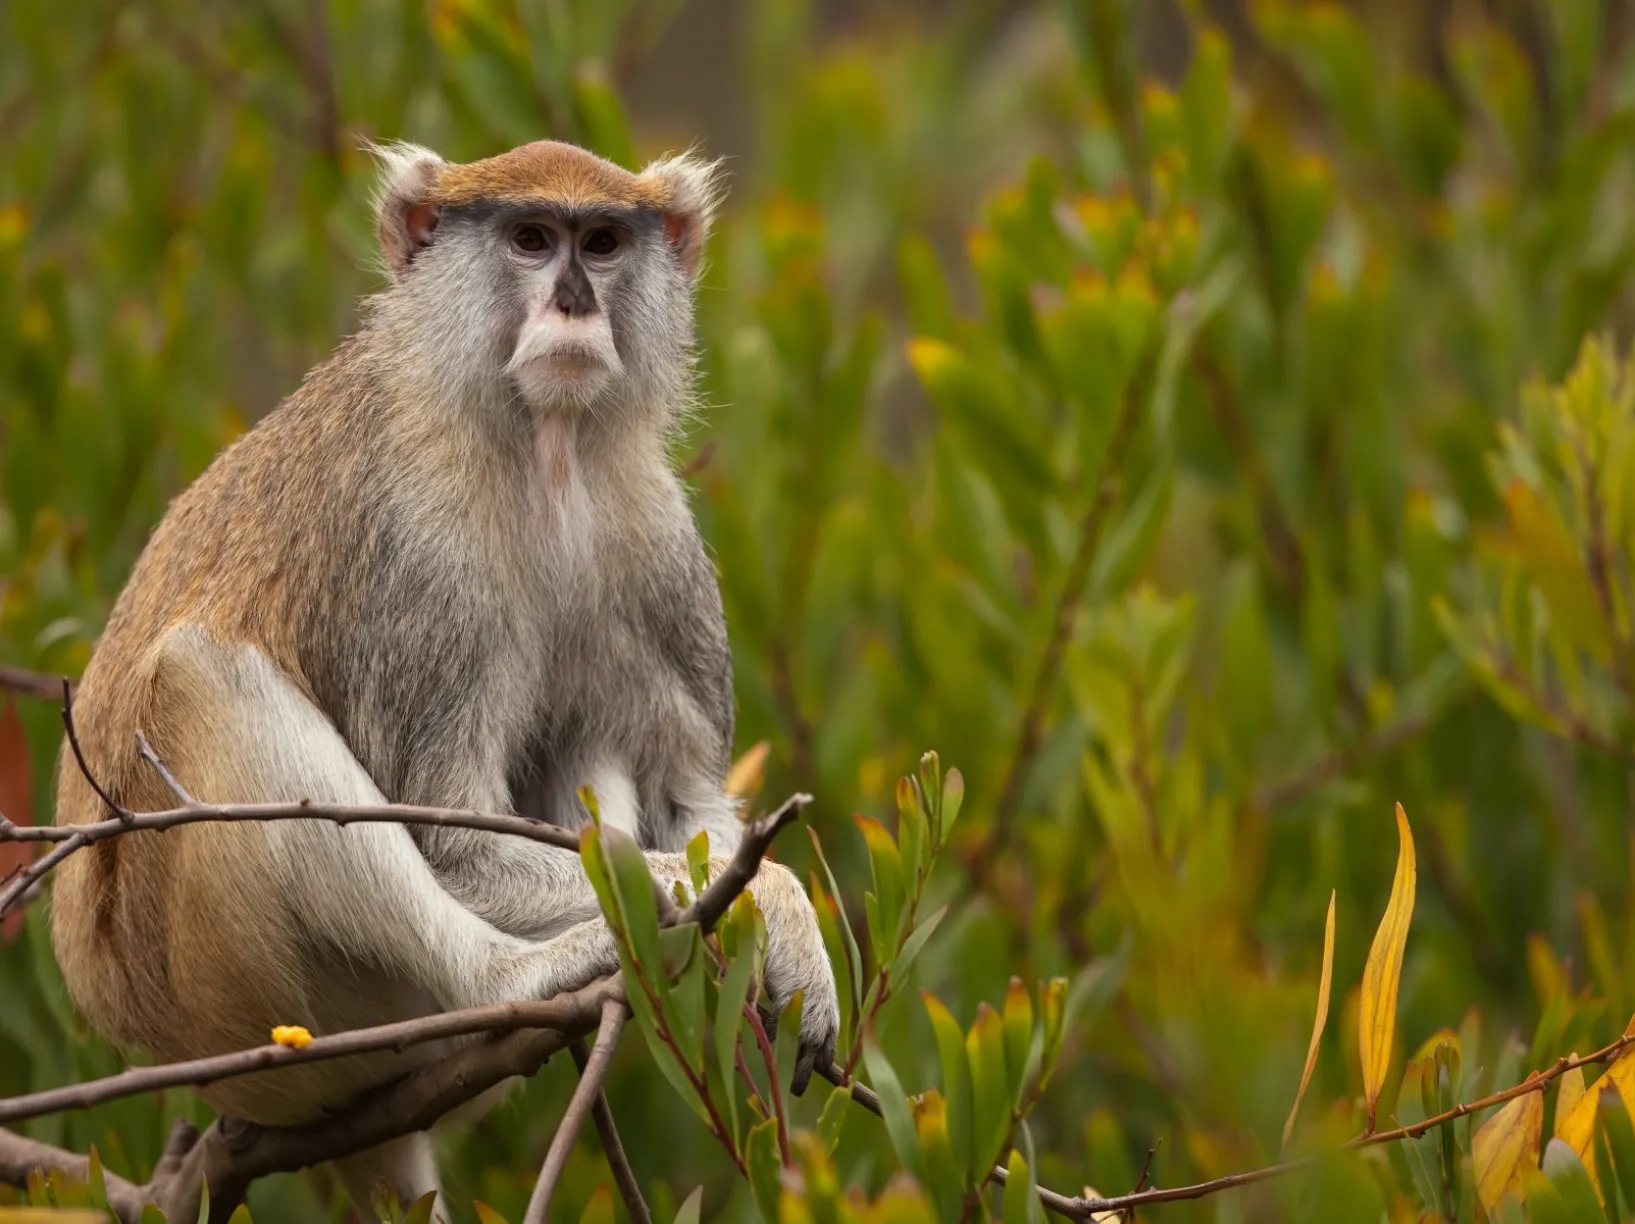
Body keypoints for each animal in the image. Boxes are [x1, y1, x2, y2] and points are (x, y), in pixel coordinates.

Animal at [51, 138, 843, 1209]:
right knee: (198, 676)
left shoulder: (661, 551)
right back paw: (519, 981)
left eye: (601, 242)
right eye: (530, 239)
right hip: (240, 1002)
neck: (541, 448)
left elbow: (690, 803)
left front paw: (778, 923)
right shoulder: (419, 559)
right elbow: (453, 843)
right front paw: (751, 902)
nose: (573, 301)